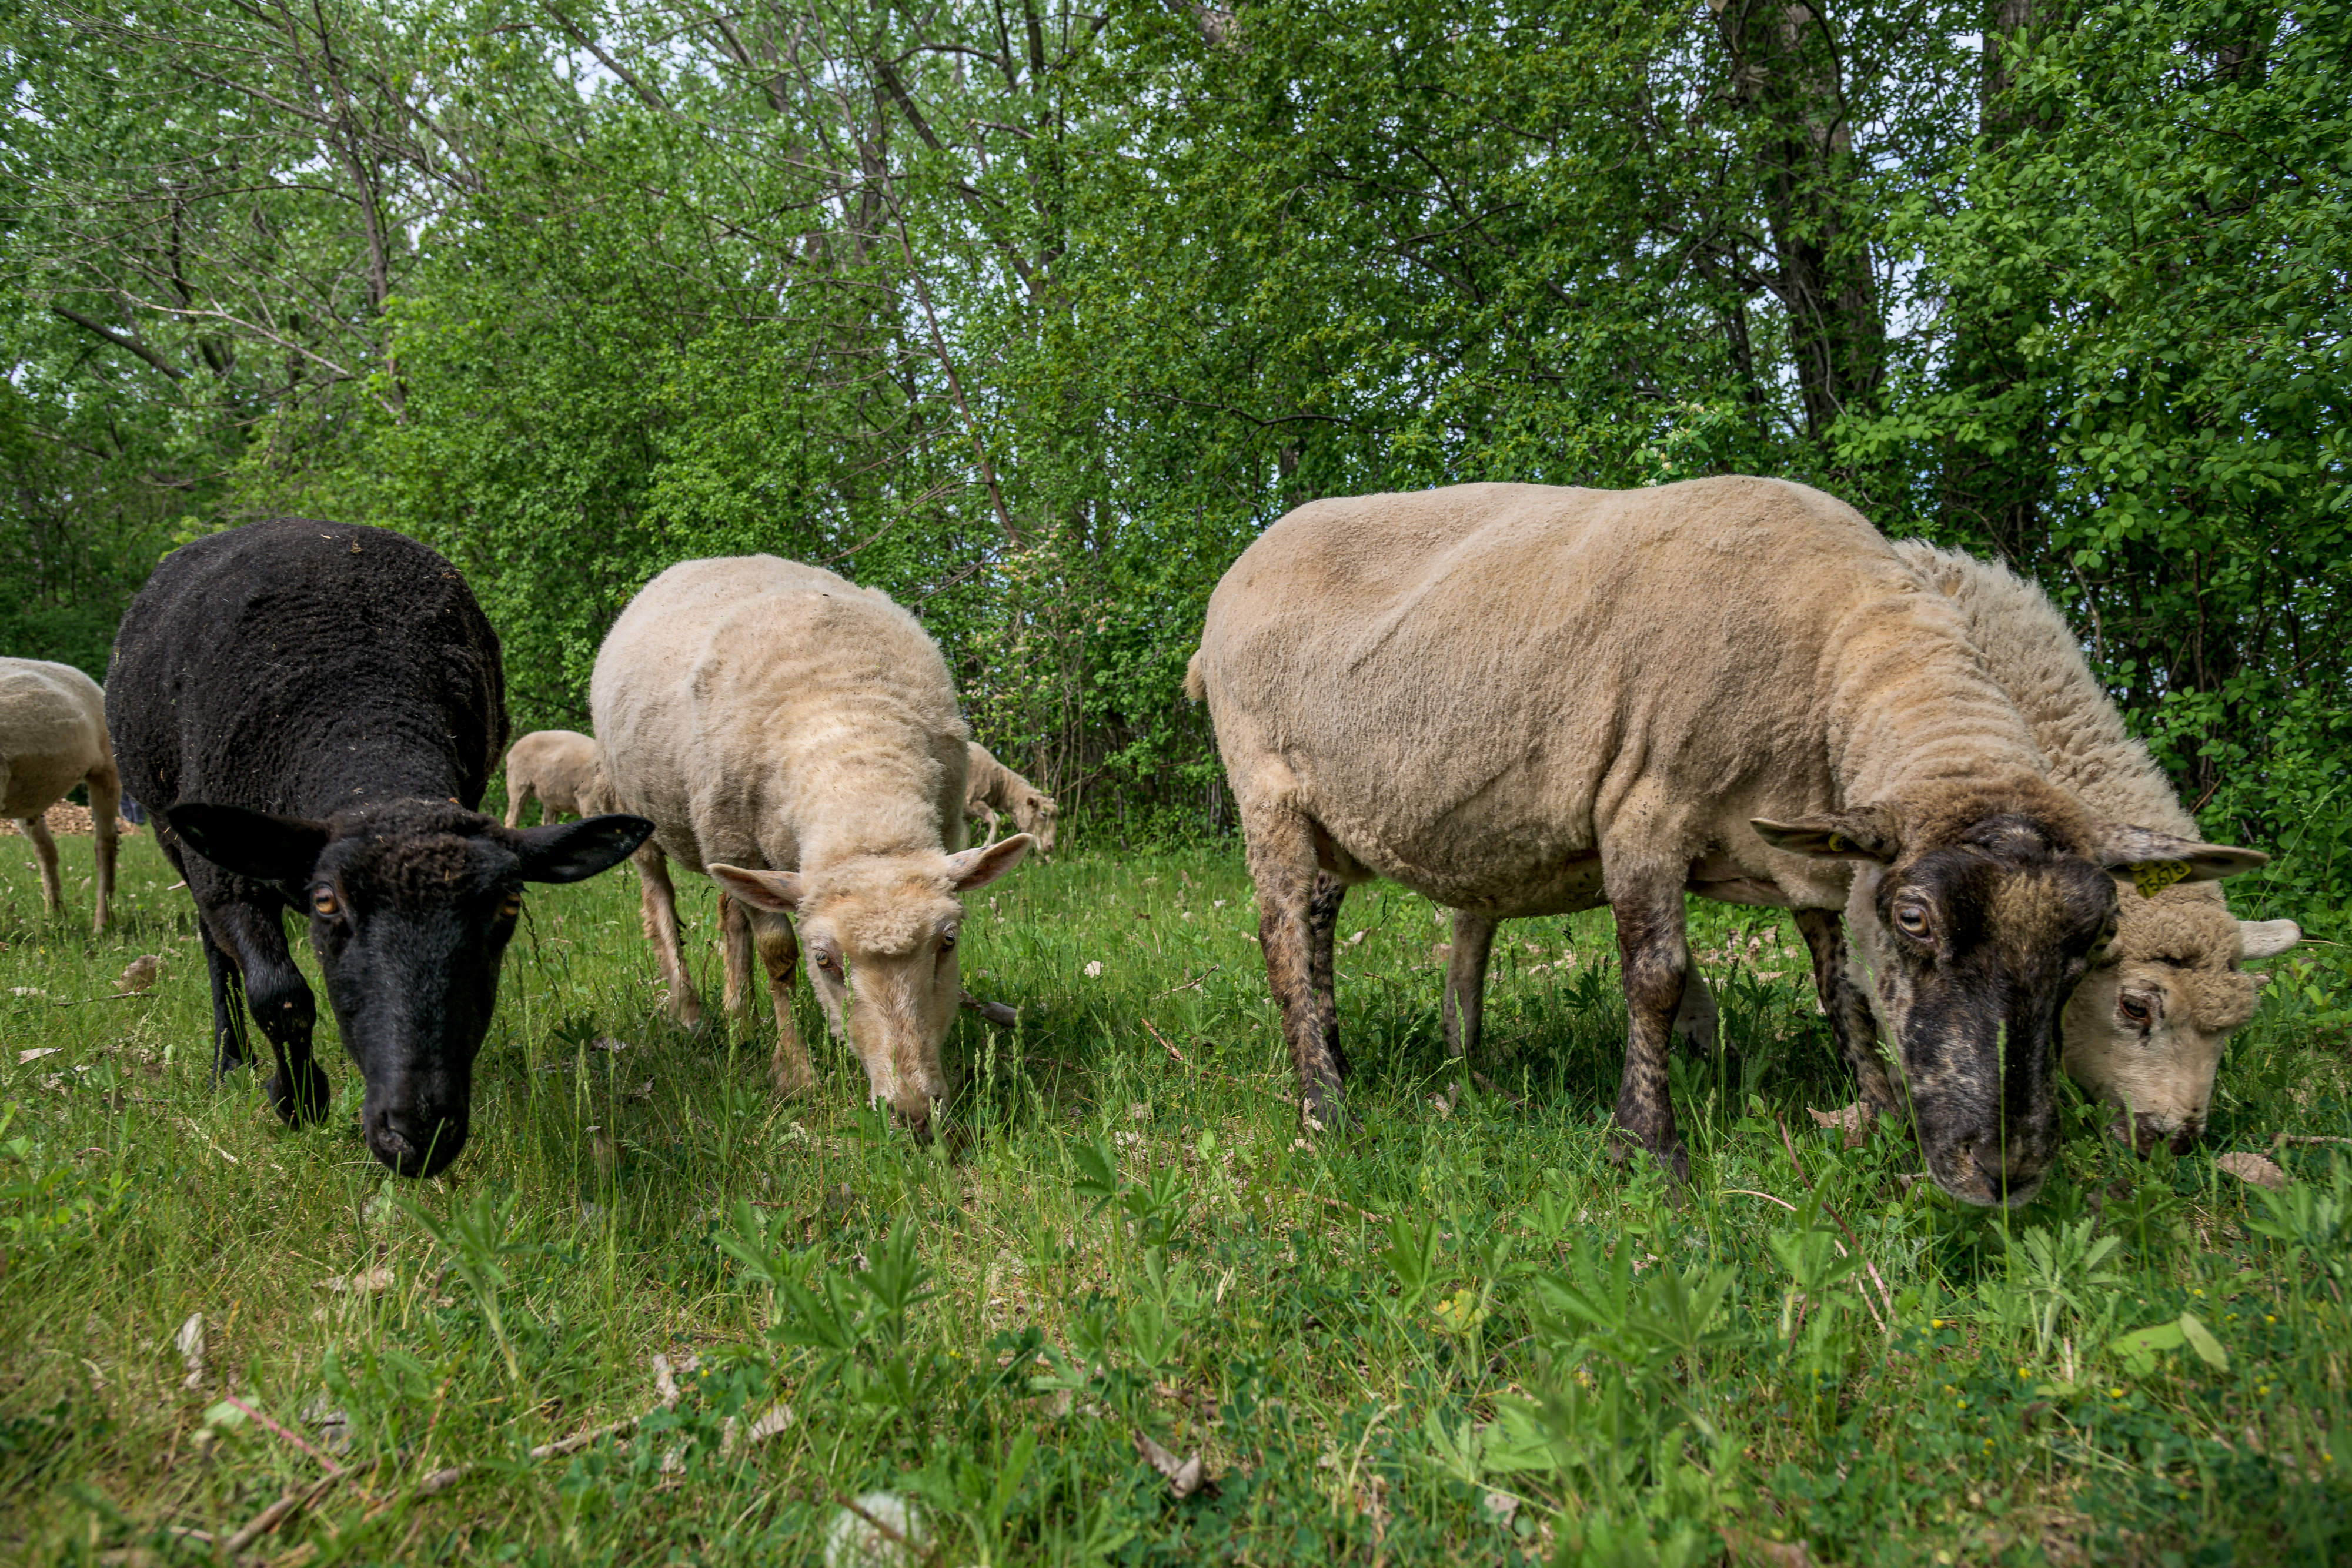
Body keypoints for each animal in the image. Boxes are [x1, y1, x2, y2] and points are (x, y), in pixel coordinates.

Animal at [503, 729, 614, 826]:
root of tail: (512, 750)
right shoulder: (587, 798)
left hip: (550, 794)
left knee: (547, 820)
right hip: (518, 781)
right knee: (512, 817)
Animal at [590, 556, 1032, 1129]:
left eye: (948, 942)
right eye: (823, 960)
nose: (912, 1111)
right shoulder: (739, 845)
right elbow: (777, 955)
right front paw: (796, 1075)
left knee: (731, 912)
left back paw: (741, 1019)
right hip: (641, 812)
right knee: (659, 901)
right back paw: (690, 1014)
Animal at [964, 742, 1059, 858]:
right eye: (1043, 814)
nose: (1051, 848)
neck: (1001, 784)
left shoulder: (964, 817)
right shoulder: (974, 802)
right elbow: (997, 820)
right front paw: (985, 848)